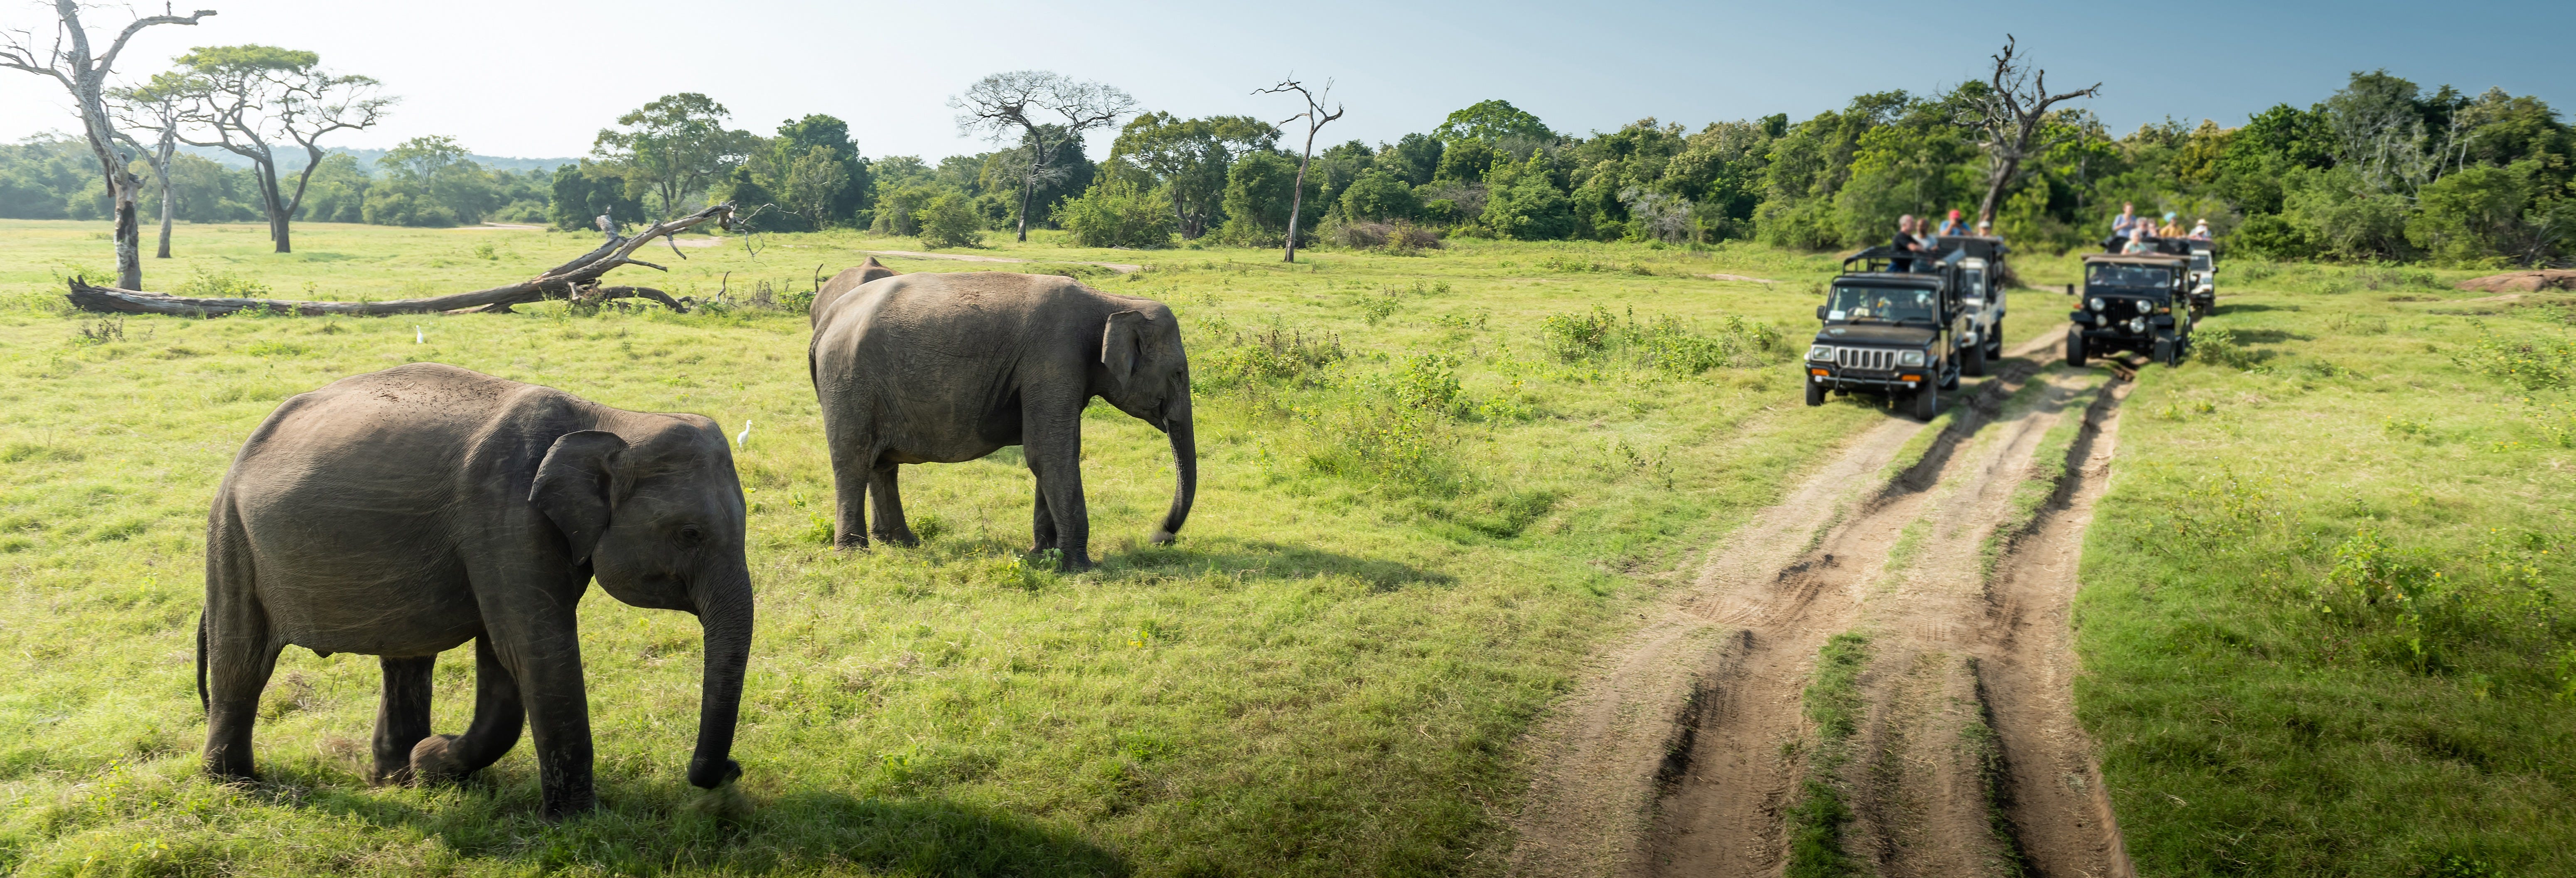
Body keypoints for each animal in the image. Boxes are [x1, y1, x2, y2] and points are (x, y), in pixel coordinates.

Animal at [202, 360, 752, 814]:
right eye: (690, 533)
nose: (731, 770)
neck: (609, 418)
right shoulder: (505, 511)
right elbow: (533, 648)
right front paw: (577, 820)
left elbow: (505, 655)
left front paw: (431, 764)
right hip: (232, 536)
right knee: (242, 660)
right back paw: (235, 785)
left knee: (406, 658)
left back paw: (394, 777)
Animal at [814, 266, 1195, 566]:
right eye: (1178, 373)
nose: (1161, 536)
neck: (1111, 302)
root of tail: (827, 319)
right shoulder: (1054, 358)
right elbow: (1050, 455)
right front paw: (1081, 568)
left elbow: (1055, 452)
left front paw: (1044, 555)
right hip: (848, 383)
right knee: (853, 461)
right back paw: (853, 554)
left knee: (881, 465)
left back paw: (901, 543)